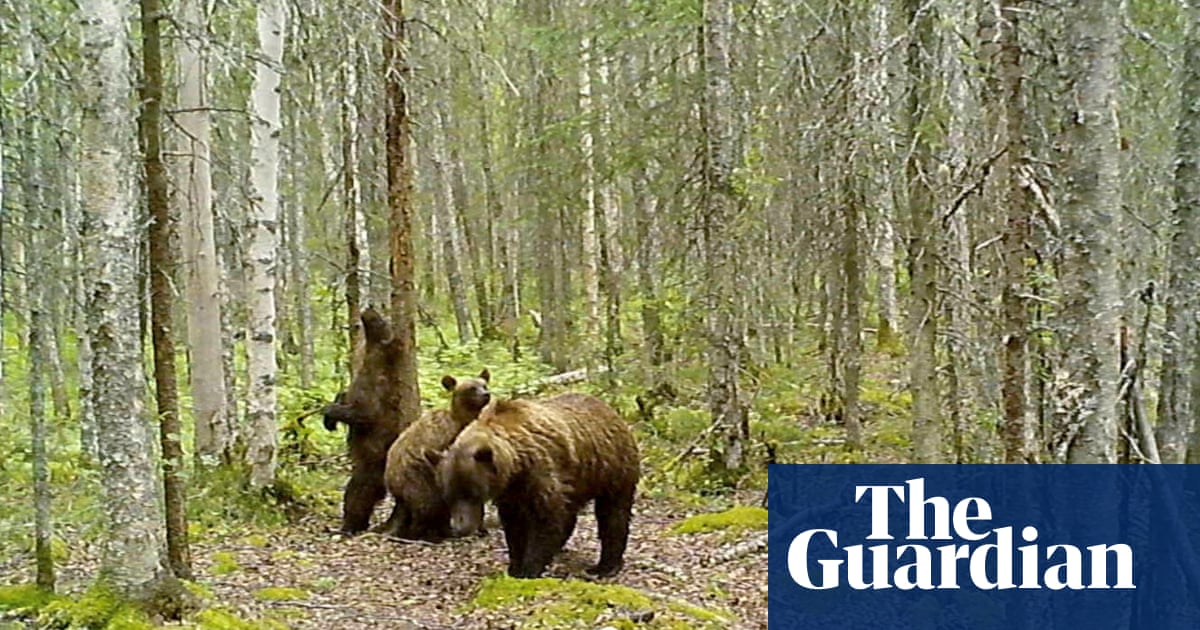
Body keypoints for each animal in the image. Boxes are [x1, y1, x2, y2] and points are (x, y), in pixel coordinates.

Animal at [321, 307, 405, 532]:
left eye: (383, 321)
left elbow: (364, 414)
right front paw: (329, 419)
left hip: (372, 468)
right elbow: (344, 395)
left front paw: (328, 411)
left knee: (358, 492)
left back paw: (349, 525)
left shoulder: (374, 392)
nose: (370, 307)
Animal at [374, 369, 487, 540]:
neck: (461, 421)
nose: (486, 394)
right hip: (416, 479)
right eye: (471, 388)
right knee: (427, 506)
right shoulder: (448, 443)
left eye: (484, 384)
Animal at [432, 393, 638, 580]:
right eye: (449, 496)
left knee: (613, 514)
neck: (515, 465)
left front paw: (529, 569)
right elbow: (515, 526)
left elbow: (545, 520)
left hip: (611, 468)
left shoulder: (539, 473)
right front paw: (515, 566)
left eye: (472, 493)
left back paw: (605, 567)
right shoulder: (511, 492)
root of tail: (610, 410)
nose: (460, 527)